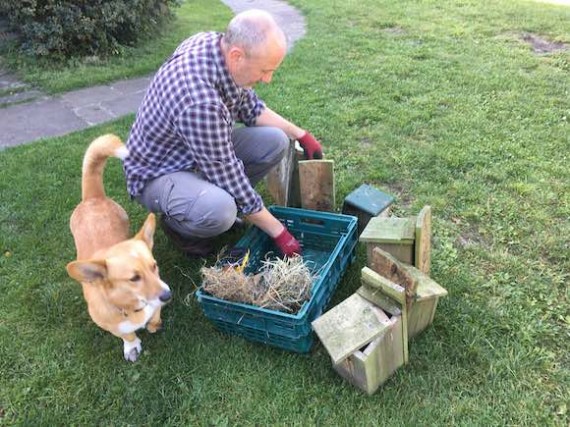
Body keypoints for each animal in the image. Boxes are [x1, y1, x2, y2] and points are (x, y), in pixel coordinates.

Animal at [65, 135, 170, 362]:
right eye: (134, 278)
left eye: (154, 266)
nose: (168, 296)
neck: (133, 307)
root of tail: (92, 197)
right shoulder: (111, 325)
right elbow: (126, 334)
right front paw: (132, 346)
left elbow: (153, 317)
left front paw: (154, 324)